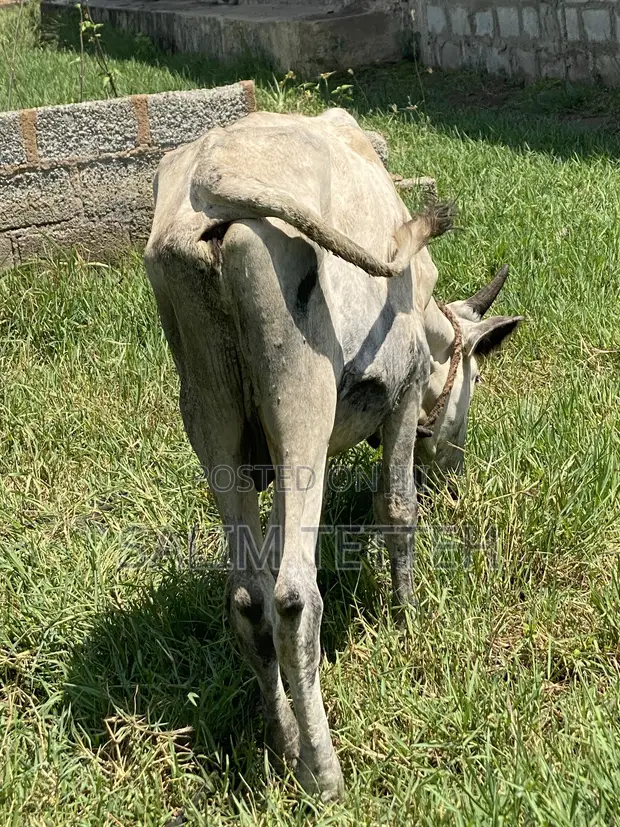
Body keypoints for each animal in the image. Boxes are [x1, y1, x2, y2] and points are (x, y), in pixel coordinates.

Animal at [144, 108, 522, 801]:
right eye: (474, 376)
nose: (451, 470)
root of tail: (211, 181)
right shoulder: (403, 391)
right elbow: (396, 509)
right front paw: (407, 619)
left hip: (209, 412)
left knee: (250, 599)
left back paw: (283, 740)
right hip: (304, 401)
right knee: (294, 597)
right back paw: (323, 773)